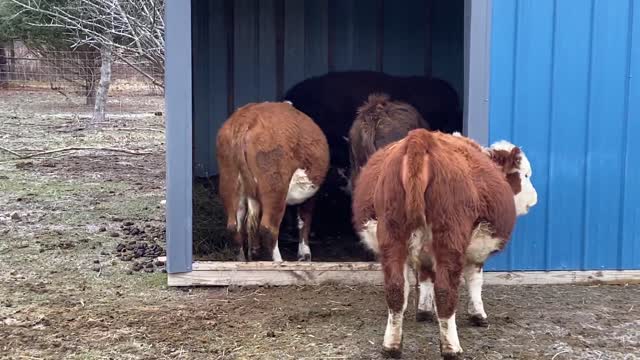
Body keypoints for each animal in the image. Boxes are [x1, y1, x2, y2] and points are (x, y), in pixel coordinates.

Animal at [218, 101, 332, 262]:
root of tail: (247, 118)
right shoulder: (311, 193)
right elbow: (305, 219)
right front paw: (305, 254)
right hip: (275, 188)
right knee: (268, 228)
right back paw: (279, 261)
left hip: (230, 181)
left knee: (234, 227)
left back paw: (242, 259)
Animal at [352, 129, 536, 358]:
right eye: (525, 175)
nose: (534, 200)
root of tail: (420, 139)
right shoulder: (477, 251)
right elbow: (475, 279)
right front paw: (478, 315)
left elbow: (425, 277)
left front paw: (424, 310)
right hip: (449, 236)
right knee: (445, 290)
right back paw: (451, 348)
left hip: (392, 234)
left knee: (396, 289)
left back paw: (391, 346)